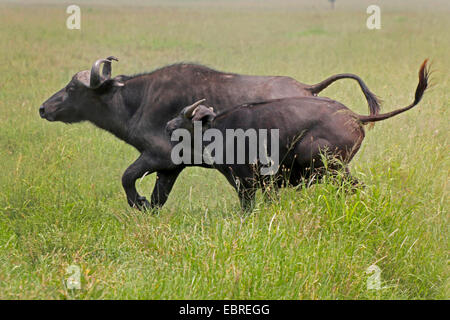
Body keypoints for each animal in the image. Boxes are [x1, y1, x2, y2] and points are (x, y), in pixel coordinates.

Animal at [40, 56, 382, 211]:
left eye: (72, 89)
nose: (44, 108)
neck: (137, 100)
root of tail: (308, 89)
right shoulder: (170, 169)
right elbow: (158, 197)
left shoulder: (157, 156)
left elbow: (127, 177)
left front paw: (138, 202)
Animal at [165, 60, 428, 210]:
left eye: (185, 117)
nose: (168, 125)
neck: (221, 130)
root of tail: (353, 116)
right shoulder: (264, 186)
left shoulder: (246, 184)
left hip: (331, 168)